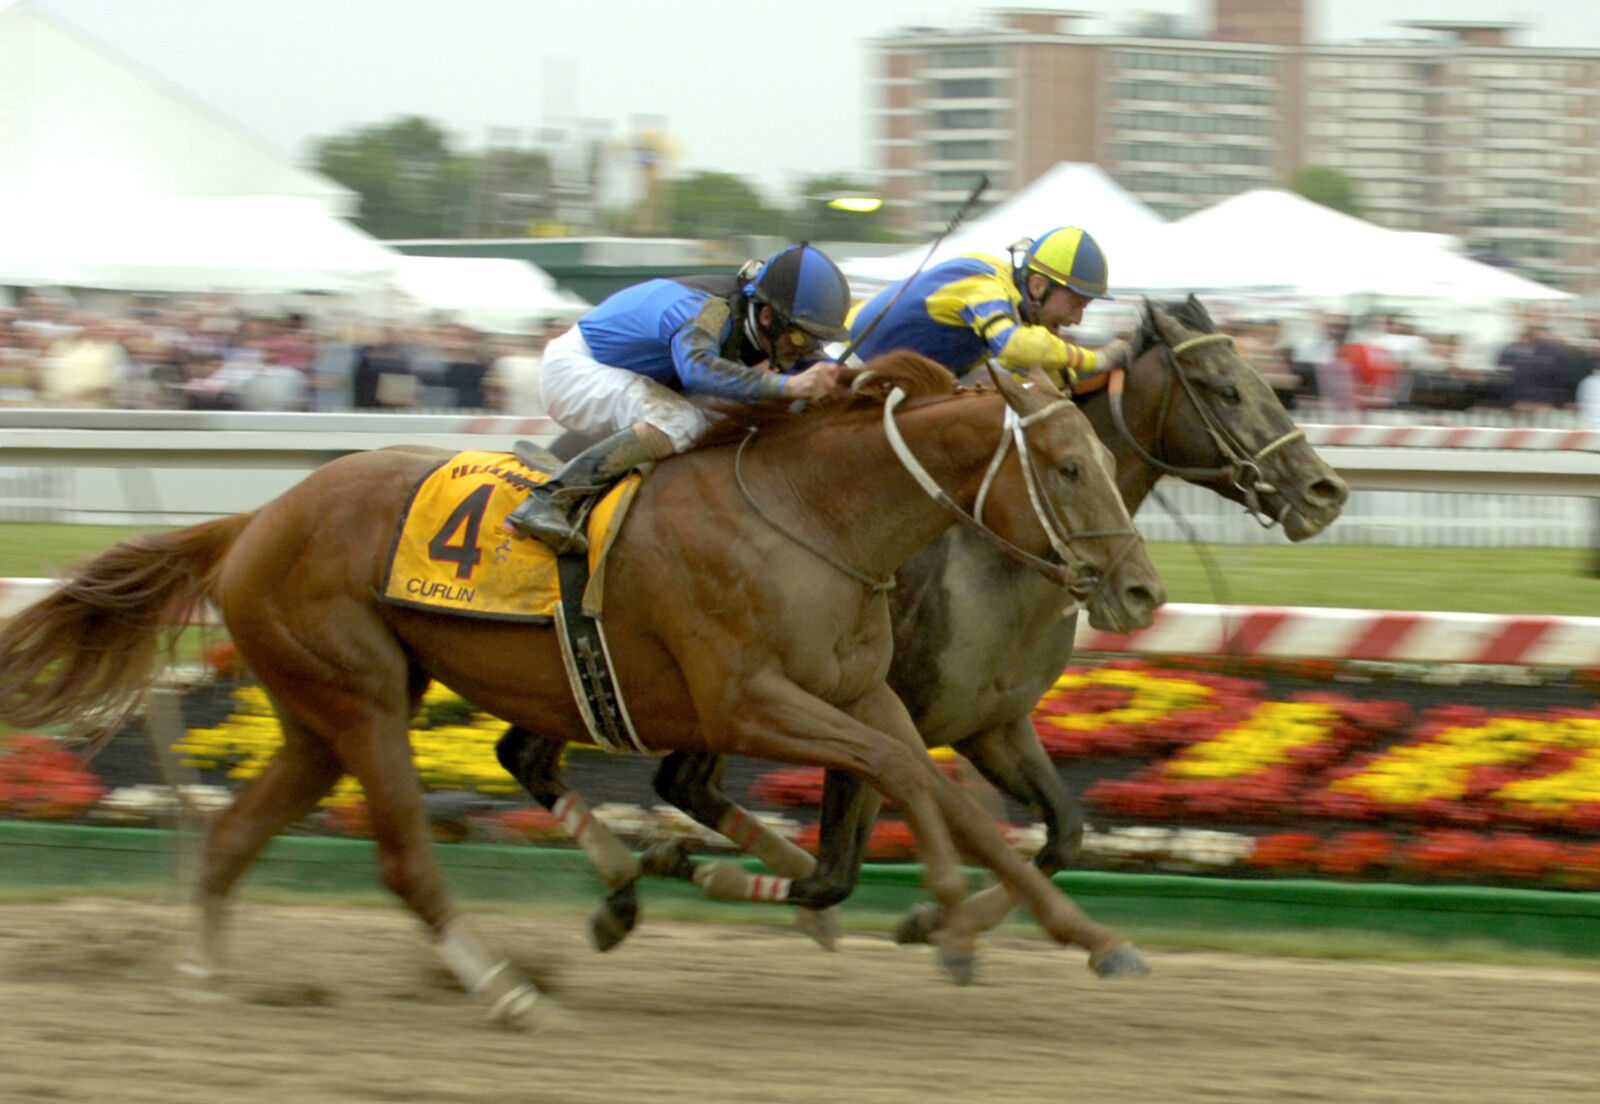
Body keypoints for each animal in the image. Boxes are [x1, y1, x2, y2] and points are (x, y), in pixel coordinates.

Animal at [0, 356, 1158, 1030]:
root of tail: (253, 520)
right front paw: (946, 921)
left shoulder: (862, 692)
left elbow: (948, 793)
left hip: (317, 716)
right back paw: (506, 987)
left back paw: (205, 977)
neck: (812, 515)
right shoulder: (746, 701)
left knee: (237, 835)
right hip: (360, 695)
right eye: (1065, 467)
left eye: (1104, 461)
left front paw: (1091, 938)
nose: (1141, 587)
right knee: (404, 858)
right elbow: (897, 778)